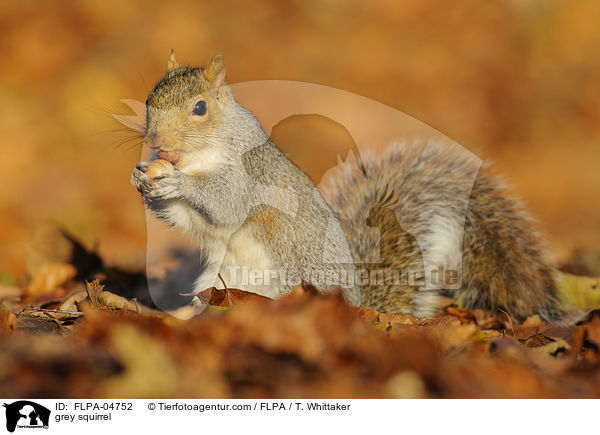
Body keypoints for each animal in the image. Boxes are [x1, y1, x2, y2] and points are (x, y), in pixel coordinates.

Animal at [131, 52, 580, 324]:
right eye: (150, 98)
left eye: (200, 108)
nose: (155, 140)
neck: (200, 156)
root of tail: (361, 307)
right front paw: (142, 179)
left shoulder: (250, 173)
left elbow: (225, 203)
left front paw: (175, 182)